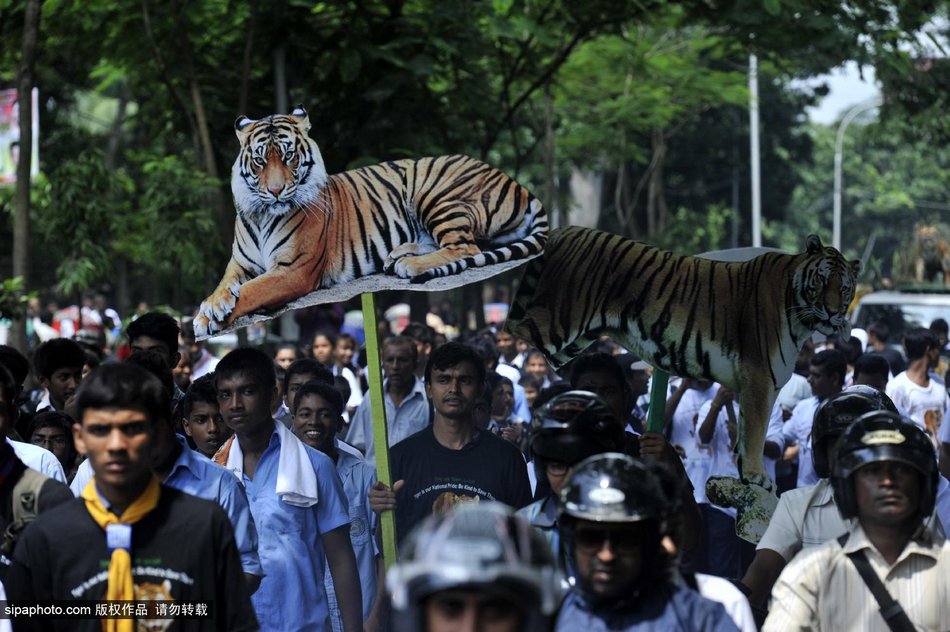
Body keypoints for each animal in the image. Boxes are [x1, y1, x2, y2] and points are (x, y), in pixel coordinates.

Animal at [193, 106, 548, 338]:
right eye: (260, 160)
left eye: (289, 155)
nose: (276, 191)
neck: (262, 213)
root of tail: (515, 182)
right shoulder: (240, 264)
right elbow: (224, 285)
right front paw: (208, 309)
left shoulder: (294, 269)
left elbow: (252, 291)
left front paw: (211, 316)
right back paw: (398, 254)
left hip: (434, 190)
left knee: (465, 246)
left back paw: (408, 264)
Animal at [510, 227, 860, 498]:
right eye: (821, 281)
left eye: (844, 289)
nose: (833, 313)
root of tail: (563, 230)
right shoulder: (759, 376)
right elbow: (756, 431)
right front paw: (757, 476)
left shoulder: (761, 383)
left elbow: (747, 431)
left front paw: (746, 474)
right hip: (554, 321)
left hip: (570, 341)